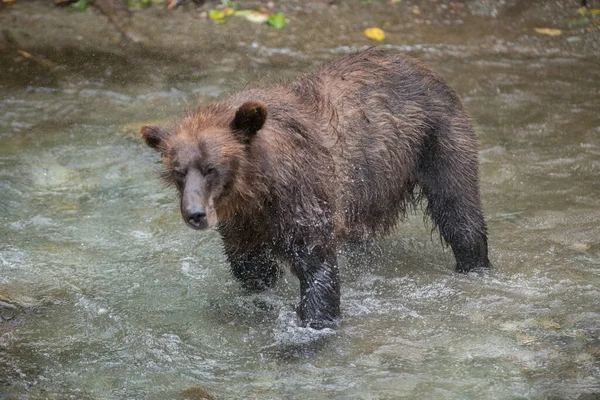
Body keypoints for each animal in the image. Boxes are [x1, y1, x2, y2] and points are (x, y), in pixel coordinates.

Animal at [143, 48, 490, 330]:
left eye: (211, 168)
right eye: (179, 172)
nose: (195, 214)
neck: (258, 190)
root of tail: (421, 64)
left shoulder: (303, 198)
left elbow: (317, 271)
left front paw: (311, 329)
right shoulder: (242, 224)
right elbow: (253, 269)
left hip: (438, 140)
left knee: (459, 212)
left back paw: (475, 265)